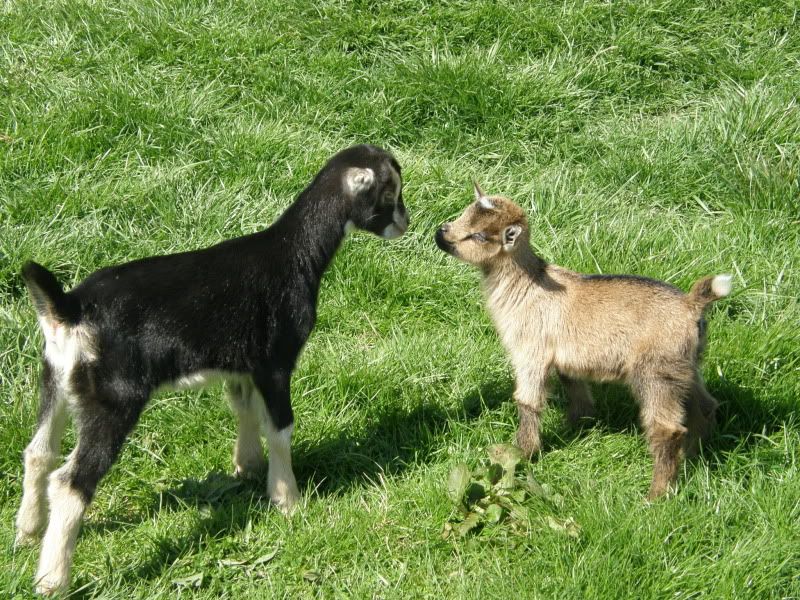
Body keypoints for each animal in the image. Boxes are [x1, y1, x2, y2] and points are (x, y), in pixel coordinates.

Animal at [15, 144, 409, 595]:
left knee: (38, 452)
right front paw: (288, 500)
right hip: (113, 399)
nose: (405, 222)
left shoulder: (242, 366)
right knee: (70, 482)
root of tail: (69, 309)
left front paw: (248, 467)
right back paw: (52, 579)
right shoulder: (275, 362)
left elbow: (245, 410)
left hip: (56, 381)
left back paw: (26, 532)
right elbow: (280, 427)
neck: (292, 253)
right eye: (389, 192)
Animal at [435, 183, 728, 500]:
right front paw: (578, 426)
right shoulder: (564, 356)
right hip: (684, 366)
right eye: (464, 213)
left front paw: (523, 453)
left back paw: (656, 494)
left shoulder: (530, 352)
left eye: (478, 235)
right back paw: (695, 457)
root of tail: (692, 305)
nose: (441, 233)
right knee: (705, 405)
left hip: (656, 371)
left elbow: (527, 401)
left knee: (667, 429)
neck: (526, 285)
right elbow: (575, 390)